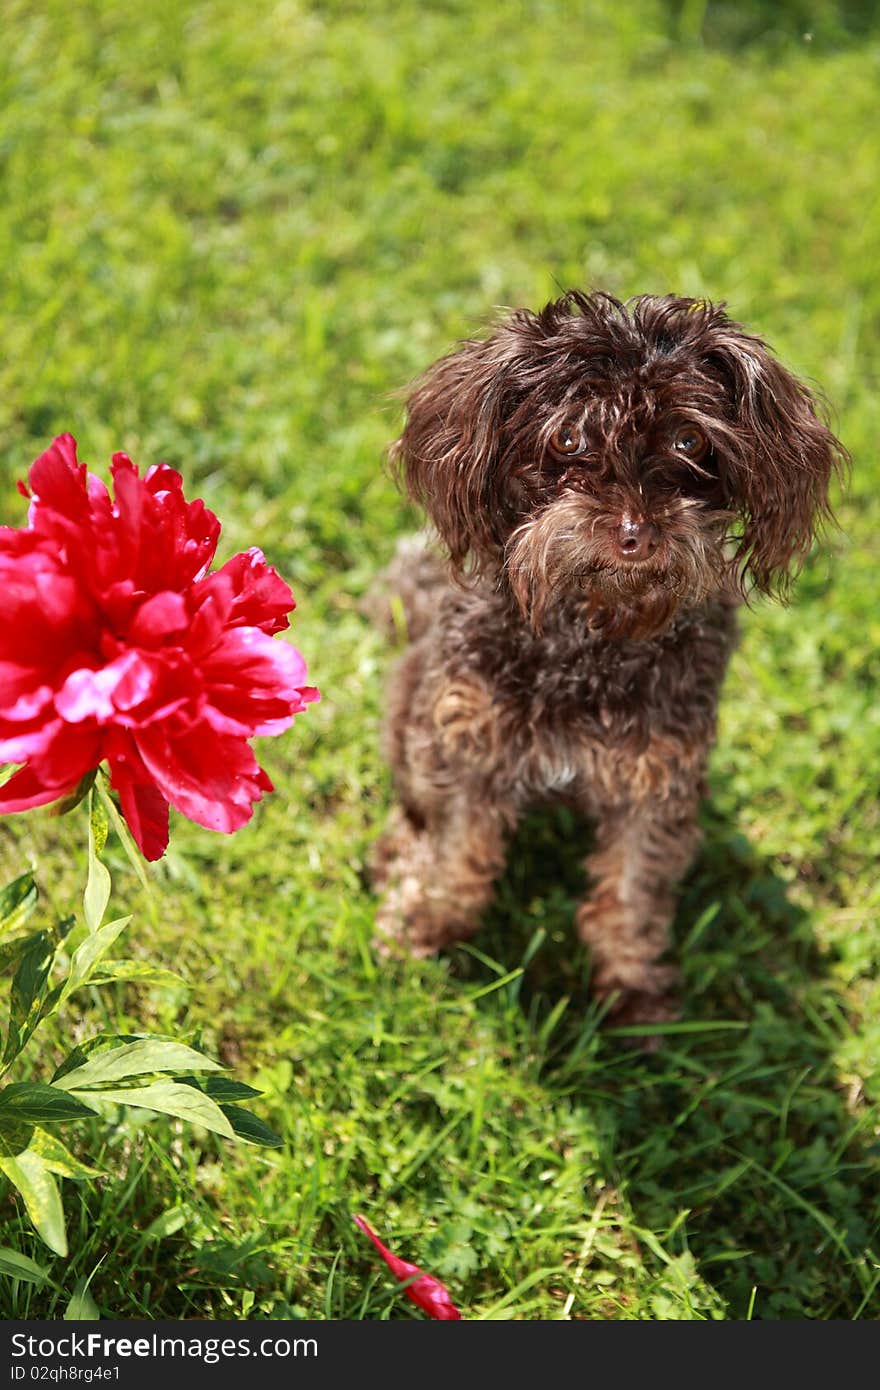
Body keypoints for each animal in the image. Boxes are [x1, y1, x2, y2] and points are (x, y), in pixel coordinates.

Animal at [367, 293, 839, 1028]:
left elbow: (631, 890)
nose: (634, 535)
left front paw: (633, 989)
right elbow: (452, 856)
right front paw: (422, 929)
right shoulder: (466, 743)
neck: (589, 642)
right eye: (566, 440)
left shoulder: (657, 779)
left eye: (689, 441)